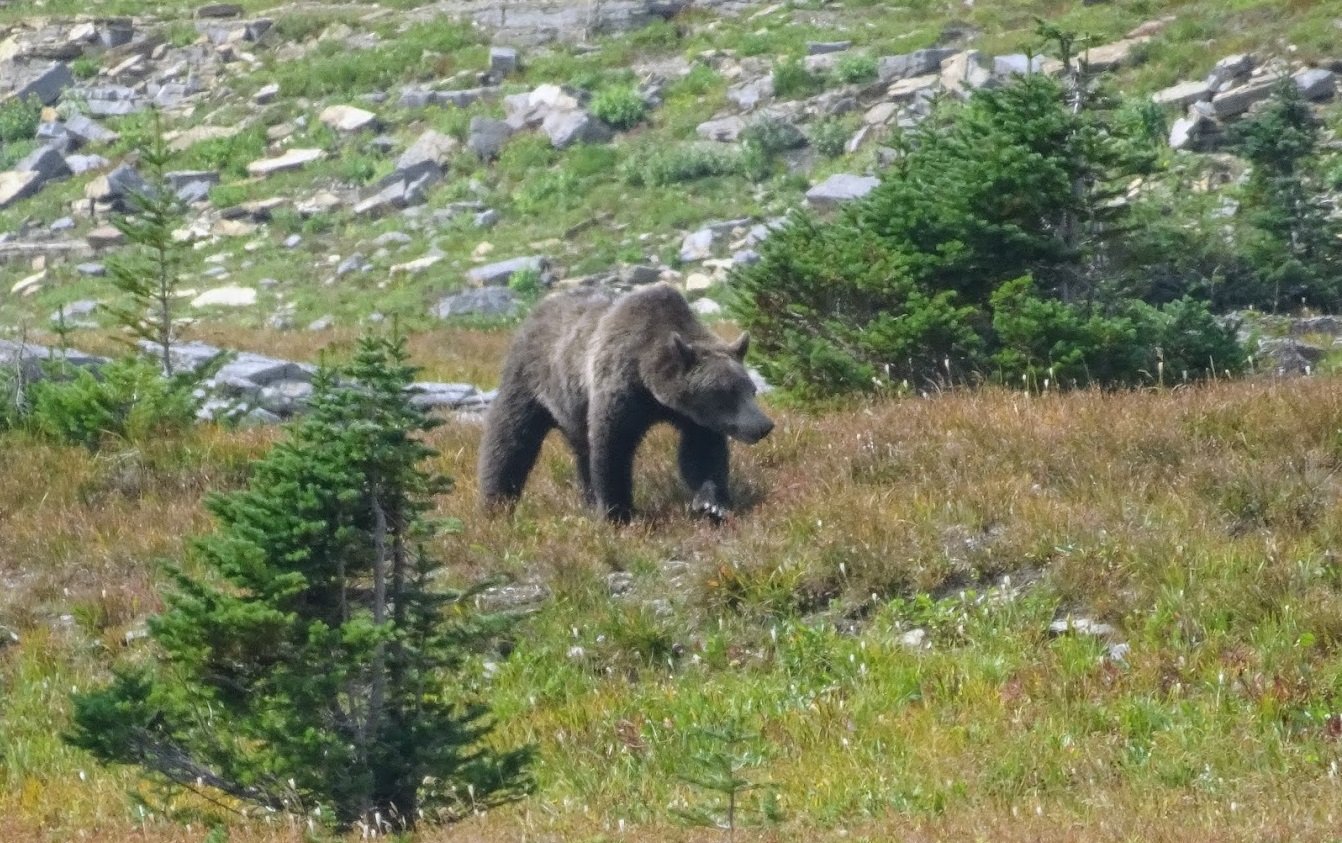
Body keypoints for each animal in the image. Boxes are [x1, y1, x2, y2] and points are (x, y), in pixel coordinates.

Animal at [478, 283, 774, 523]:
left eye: (751, 389)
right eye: (726, 393)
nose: (763, 425)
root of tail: (537, 309)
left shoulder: (693, 418)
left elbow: (702, 454)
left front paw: (712, 505)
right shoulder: (620, 389)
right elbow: (612, 447)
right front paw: (617, 512)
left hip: (574, 409)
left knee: (581, 449)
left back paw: (587, 499)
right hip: (530, 377)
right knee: (510, 438)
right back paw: (495, 504)